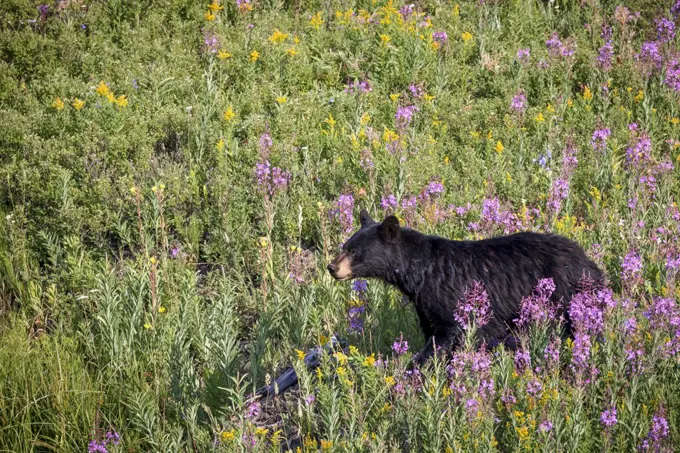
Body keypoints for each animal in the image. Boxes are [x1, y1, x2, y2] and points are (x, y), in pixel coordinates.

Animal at [326, 210, 604, 366]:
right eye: (344, 245)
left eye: (354, 252)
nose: (331, 267)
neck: (421, 273)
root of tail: (587, 260)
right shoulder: (425, 304)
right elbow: (432, 331)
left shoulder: (451, 298)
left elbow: (449, 334)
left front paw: (417, 368)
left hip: (567, 293)